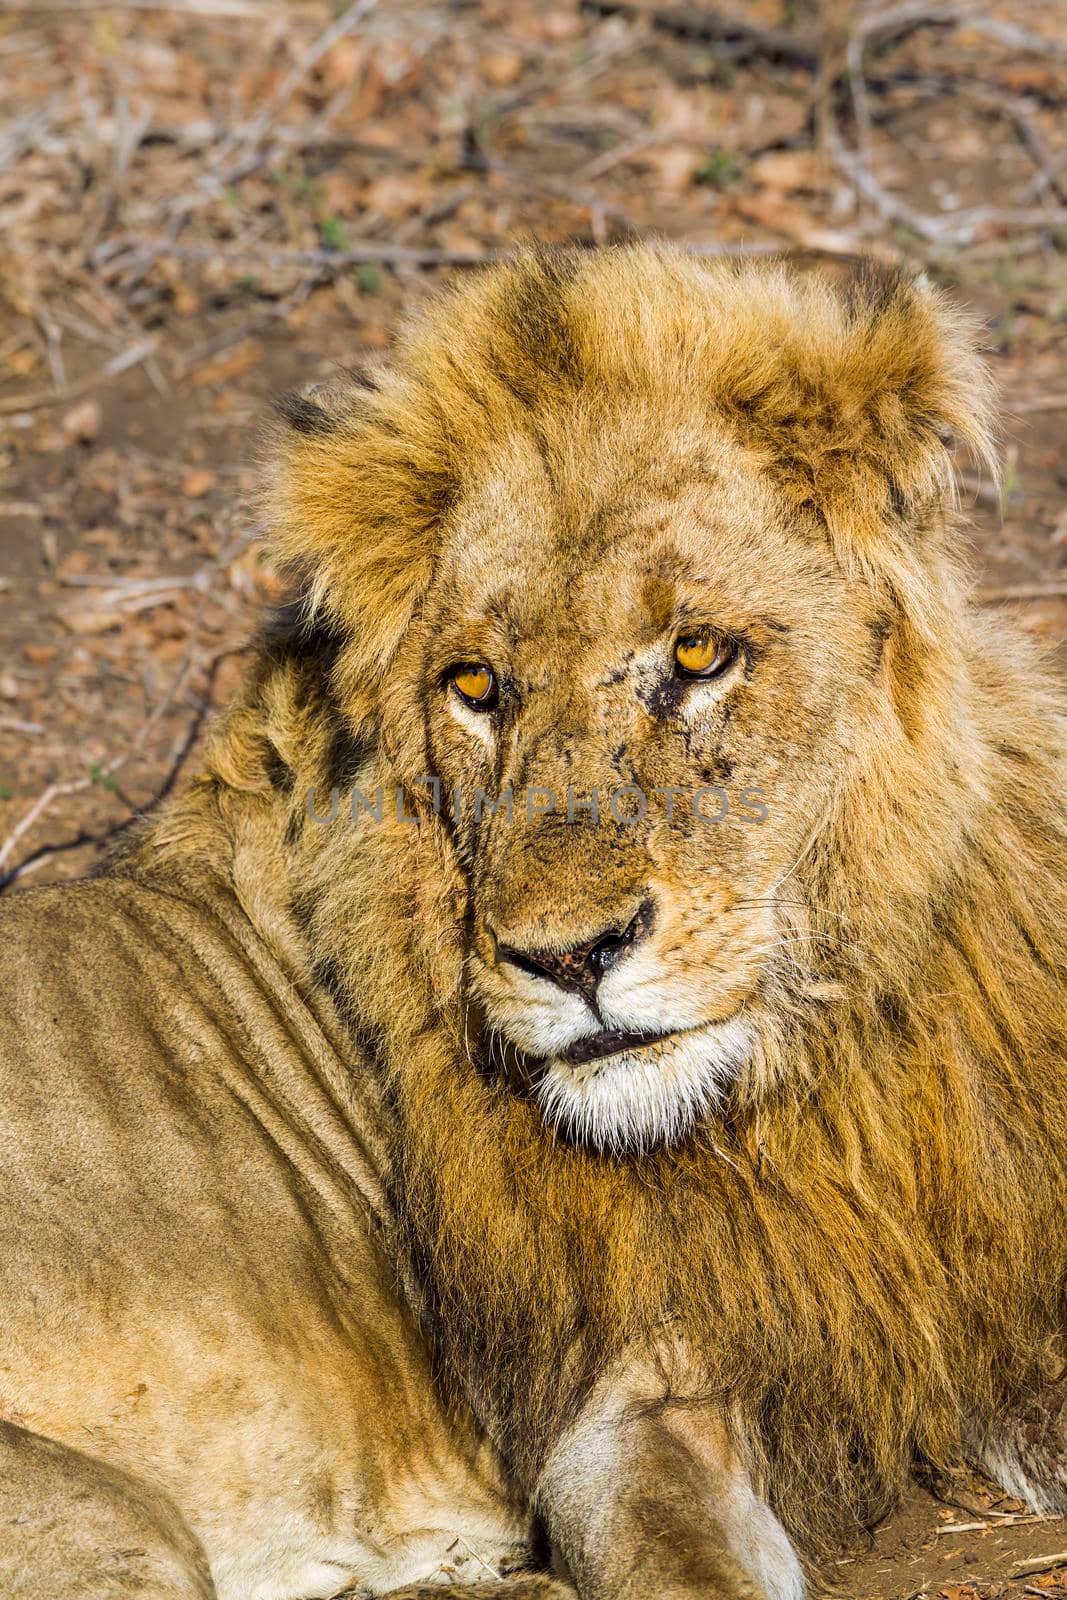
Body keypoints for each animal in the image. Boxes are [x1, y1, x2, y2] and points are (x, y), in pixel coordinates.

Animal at [2, 240, 1067, 1600]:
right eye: (474, 685)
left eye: (696, 653)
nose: (569, 957)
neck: (817, 1064)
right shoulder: (626, 1402)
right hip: (106, 1525)